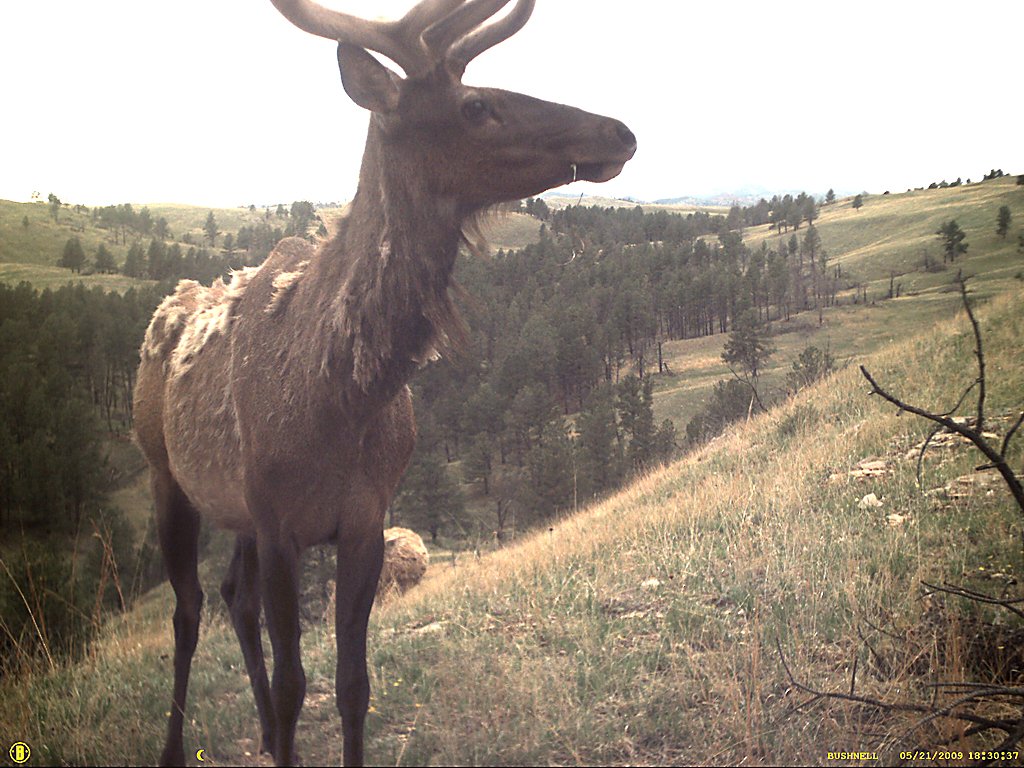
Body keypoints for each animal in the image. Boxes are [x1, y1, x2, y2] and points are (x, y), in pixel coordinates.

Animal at [134, 3, 630, 765]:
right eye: (475, 104)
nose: (618, 131)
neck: (335, 403)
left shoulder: (364, 518)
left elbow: (352, 683)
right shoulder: (278, 523)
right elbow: (295, 683)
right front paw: (280, 727)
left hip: (235, 510)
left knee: (232, 598)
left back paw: (265, 734)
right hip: (165, 471)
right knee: (187, 611)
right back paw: (176, 744)